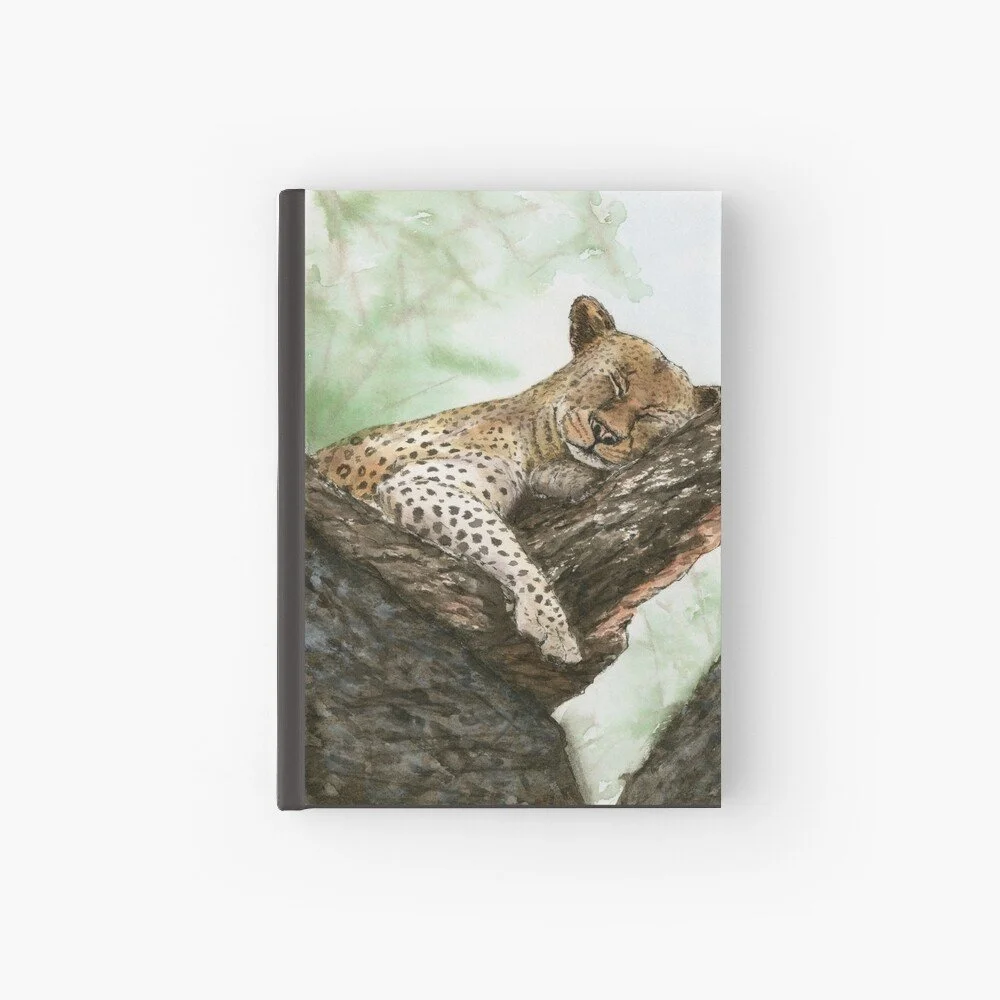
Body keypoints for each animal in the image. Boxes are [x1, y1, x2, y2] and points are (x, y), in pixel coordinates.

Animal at [314, 295, 715, 665]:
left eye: (652, 415)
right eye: (615, 381)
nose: (605, 433)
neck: (544, 441)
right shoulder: (421, 483)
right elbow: (503, 544)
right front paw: (552, 625)